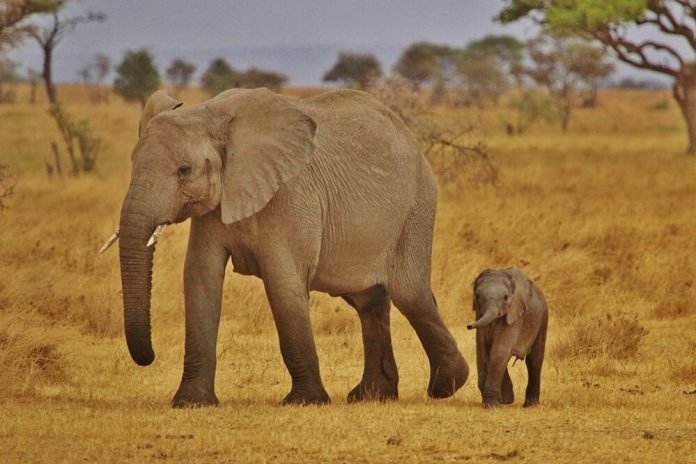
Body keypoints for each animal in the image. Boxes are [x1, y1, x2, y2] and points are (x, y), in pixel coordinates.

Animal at [106, 87, 469, 407]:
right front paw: (190, 403)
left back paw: (447, 385)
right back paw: (372, 395)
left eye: (185, 170)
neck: (210, 115)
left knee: (410, 294)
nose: (149, 357)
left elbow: (282, 284)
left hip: (416, 208)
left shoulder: (290, 195)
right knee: (369, 301)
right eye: (132, 162)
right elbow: (200, 279)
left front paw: (305, 401)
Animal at [467, 268, 548, 408]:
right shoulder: (479, 315)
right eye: (477, 296)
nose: (469, 326)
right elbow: (483, 351)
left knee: (534, 361)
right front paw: (502, 401)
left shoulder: (515, 314)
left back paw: (531, 404)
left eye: (505, 298)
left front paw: (491, 405)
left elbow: (499, 351)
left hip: (543, 318)